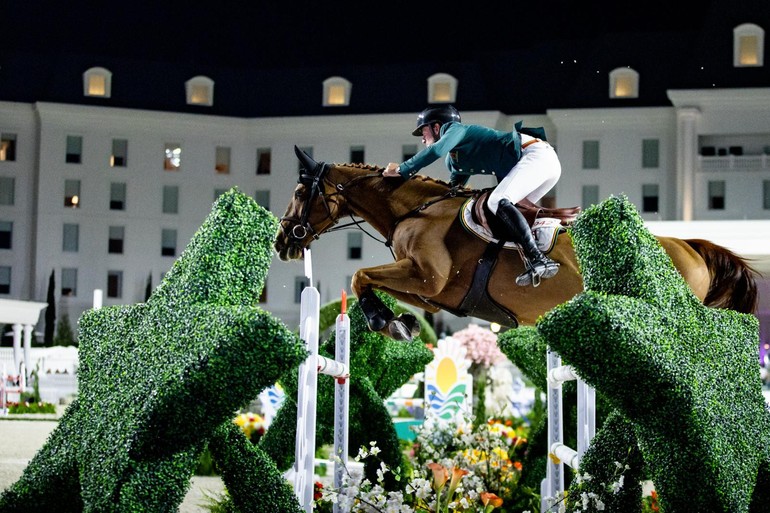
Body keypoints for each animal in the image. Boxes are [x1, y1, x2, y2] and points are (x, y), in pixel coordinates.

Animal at [274, 147, 756, 340]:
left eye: (298, 192)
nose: (282, 242)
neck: (416, 209)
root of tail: (689, 246)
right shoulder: (431, 293)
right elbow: (373, 283)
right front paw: (398, 323)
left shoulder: (429, 278)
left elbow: (360, 274)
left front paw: (382, 321)